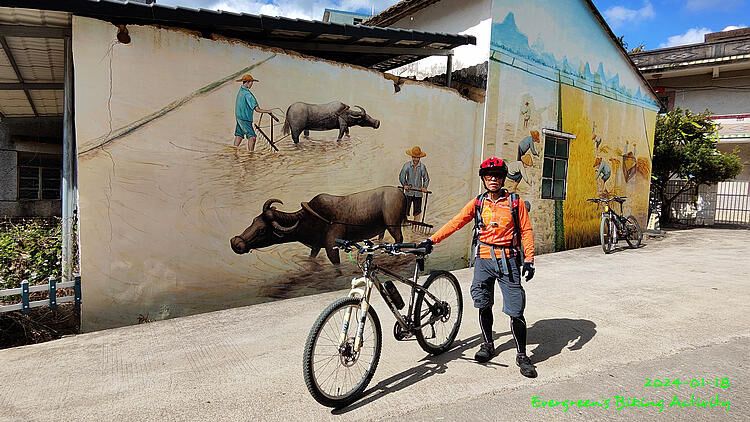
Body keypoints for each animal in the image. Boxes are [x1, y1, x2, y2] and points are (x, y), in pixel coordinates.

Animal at [230, 186, 406, 265]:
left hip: (394, 226)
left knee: (399, 240)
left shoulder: (331, 248)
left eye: (262, 230)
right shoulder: (315, 247)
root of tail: (402, 193)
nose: (236, 242)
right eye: (254, 221)